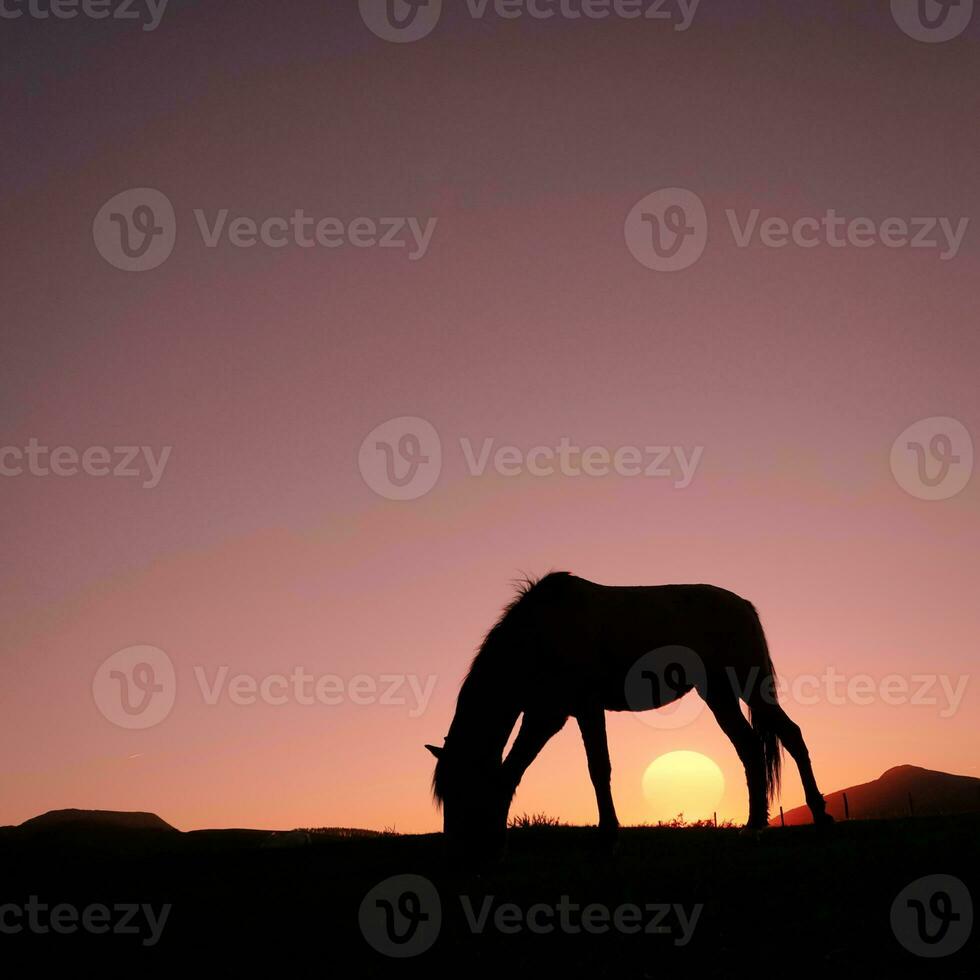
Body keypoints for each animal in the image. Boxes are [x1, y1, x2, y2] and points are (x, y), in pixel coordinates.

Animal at [424, 576, 832, 856]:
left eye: (461, 789)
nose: (457, 851)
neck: (540, 634)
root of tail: (743, 604)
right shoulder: (548, 713)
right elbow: (515, 770)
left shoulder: (568, 711)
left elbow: (595, 769)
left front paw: (608, 836)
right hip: (719, 694)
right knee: (749, 746)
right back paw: (754, 825)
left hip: (748, 685)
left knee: (790, 735)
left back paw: (818, 816)